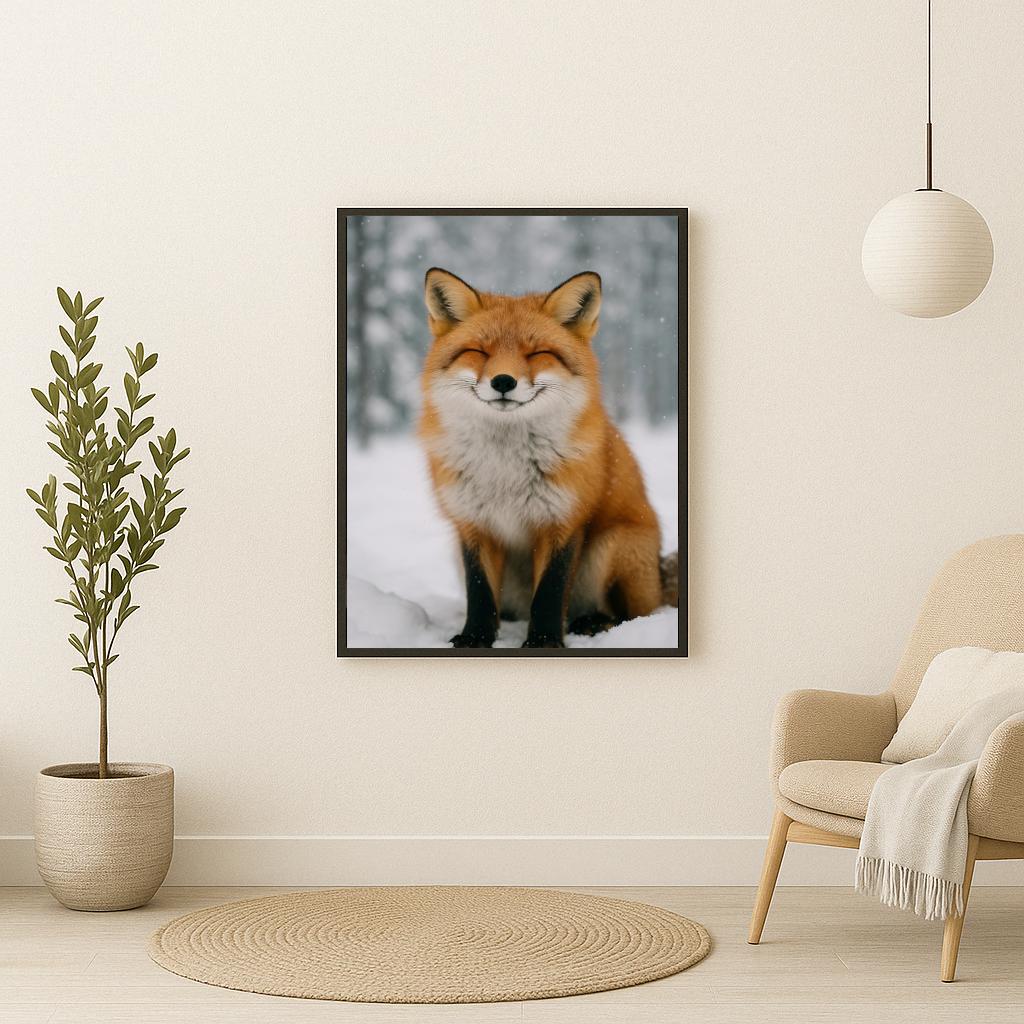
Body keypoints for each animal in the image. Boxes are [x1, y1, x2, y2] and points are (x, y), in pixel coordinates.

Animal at [418, 267, 675, 649]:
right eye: (479, 351)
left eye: (536, 353)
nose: (503, 381)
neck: (505, 467)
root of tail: (659, 579)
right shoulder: (472, 523)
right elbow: (479, 592)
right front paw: (475, 637)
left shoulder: (563, 520)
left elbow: (550, 592)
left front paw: (543, 641)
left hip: (613, 545)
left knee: (633, 614)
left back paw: (593, 622)